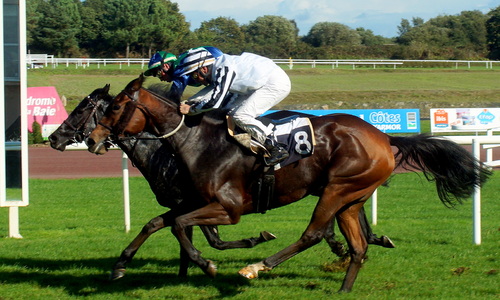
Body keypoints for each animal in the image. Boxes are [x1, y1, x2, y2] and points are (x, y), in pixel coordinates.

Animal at [87, 75, 492, 292]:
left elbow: (180, 226)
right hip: (352, 198)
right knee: (357, 245)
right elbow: (158, 222)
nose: (92, 139)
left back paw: (257, 267)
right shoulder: (194, 200)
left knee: (313, 234)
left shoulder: (229, 209)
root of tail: (383, 136)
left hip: (337, 189)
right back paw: (344, 288)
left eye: (116, 106)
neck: (199, 141)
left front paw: (207, 265)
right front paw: (120, 265)